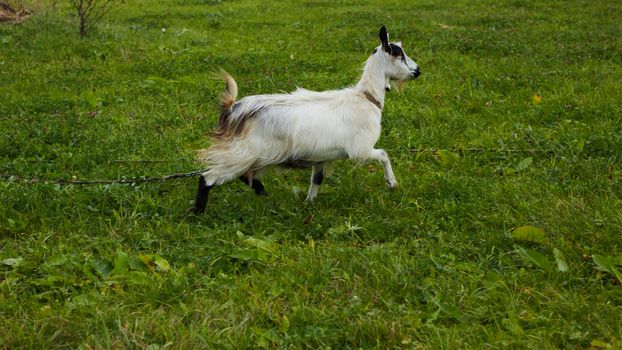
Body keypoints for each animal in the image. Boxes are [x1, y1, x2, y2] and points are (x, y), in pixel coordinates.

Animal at [193, 26, 422, 213]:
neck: (367, 97)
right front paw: (392, 183)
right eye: (399, 54)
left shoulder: (321, 157)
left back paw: (263, 194)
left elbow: (316, 180)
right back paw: (197, 213)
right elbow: (384, 154)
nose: (418, 71)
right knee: (208, 177)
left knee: (243, 175)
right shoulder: (360, 150)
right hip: (245, 152)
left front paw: (309, 202)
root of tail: (234, 108)